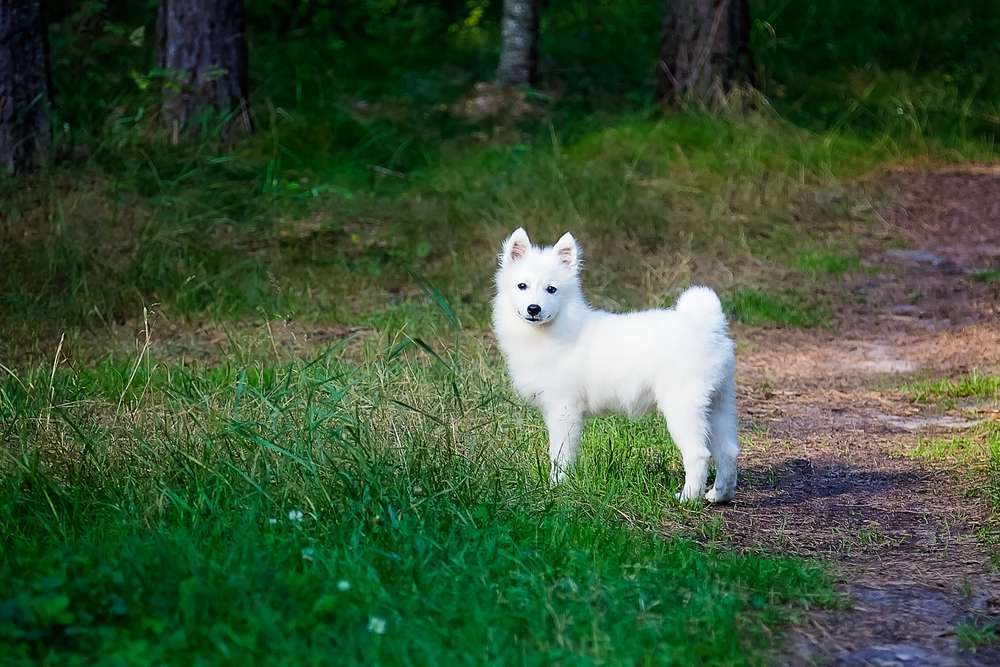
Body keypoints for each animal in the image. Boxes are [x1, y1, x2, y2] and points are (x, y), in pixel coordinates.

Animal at [488, 228, 740, 500]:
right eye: (522, 286)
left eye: (551, 289)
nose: (534, 308)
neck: (553, 329)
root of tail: (706, 326)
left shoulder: (563, 410)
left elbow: (560, 454)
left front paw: (556, 485)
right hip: (718, 405)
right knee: (728, 451)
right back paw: (719, 495)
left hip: (683, 408)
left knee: (699, 454)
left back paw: (688, 498)